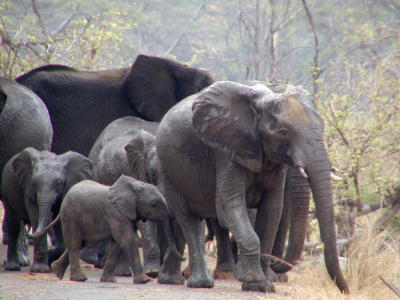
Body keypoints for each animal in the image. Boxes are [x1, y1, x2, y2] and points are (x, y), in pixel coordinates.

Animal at [48, 175, 184, 282]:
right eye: (154, 204)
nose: (184, 258)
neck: (136, 186)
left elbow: (117, 245)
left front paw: (109, 281)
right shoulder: (116, 214)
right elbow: (127, 240)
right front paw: (144, 281)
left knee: (80, 243)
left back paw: (56, 271)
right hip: (70, 215)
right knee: (75, 243)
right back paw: (79, 278)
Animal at [156, 79, 350, 292]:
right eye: (283, 132)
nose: (346, 291)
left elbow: (272, 209)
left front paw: (262, 286)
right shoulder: (226, 151)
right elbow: (230, 206)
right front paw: (253, 280)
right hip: (168, 171)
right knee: (187, 219)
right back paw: (199, 283)